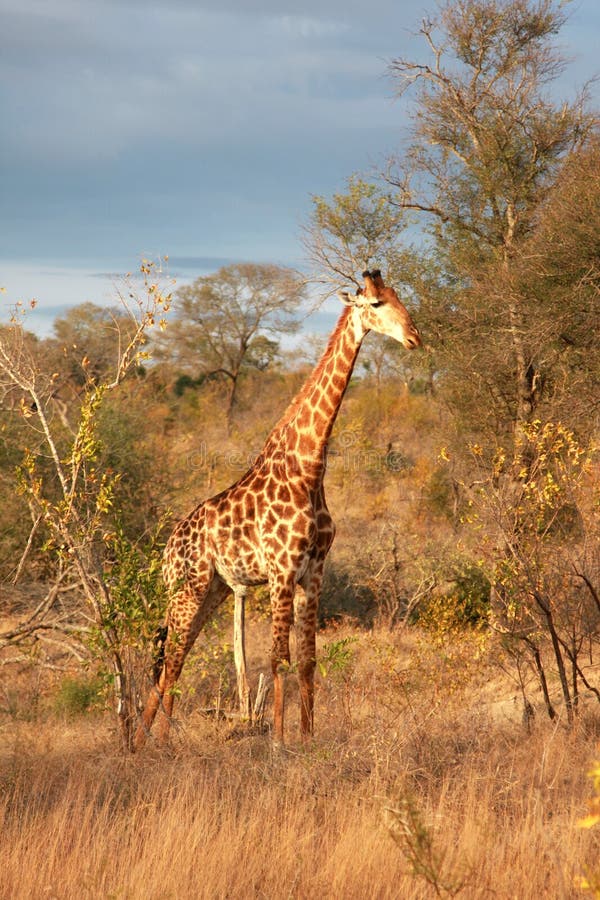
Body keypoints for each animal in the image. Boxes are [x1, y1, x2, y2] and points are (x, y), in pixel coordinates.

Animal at [134, 270, 420, 748]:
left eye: (399, 296)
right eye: (376, 303)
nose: (415, 336)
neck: (309, 468)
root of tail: (167, 550)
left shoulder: (314, 572)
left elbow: (307, 660)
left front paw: (307, 739)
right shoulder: (282, 571)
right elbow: (277, 659)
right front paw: (278, 742)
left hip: (211, 591)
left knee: (174, 660)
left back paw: (146, 743)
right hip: (186, 589)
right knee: (170, 660)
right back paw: (157, 742)